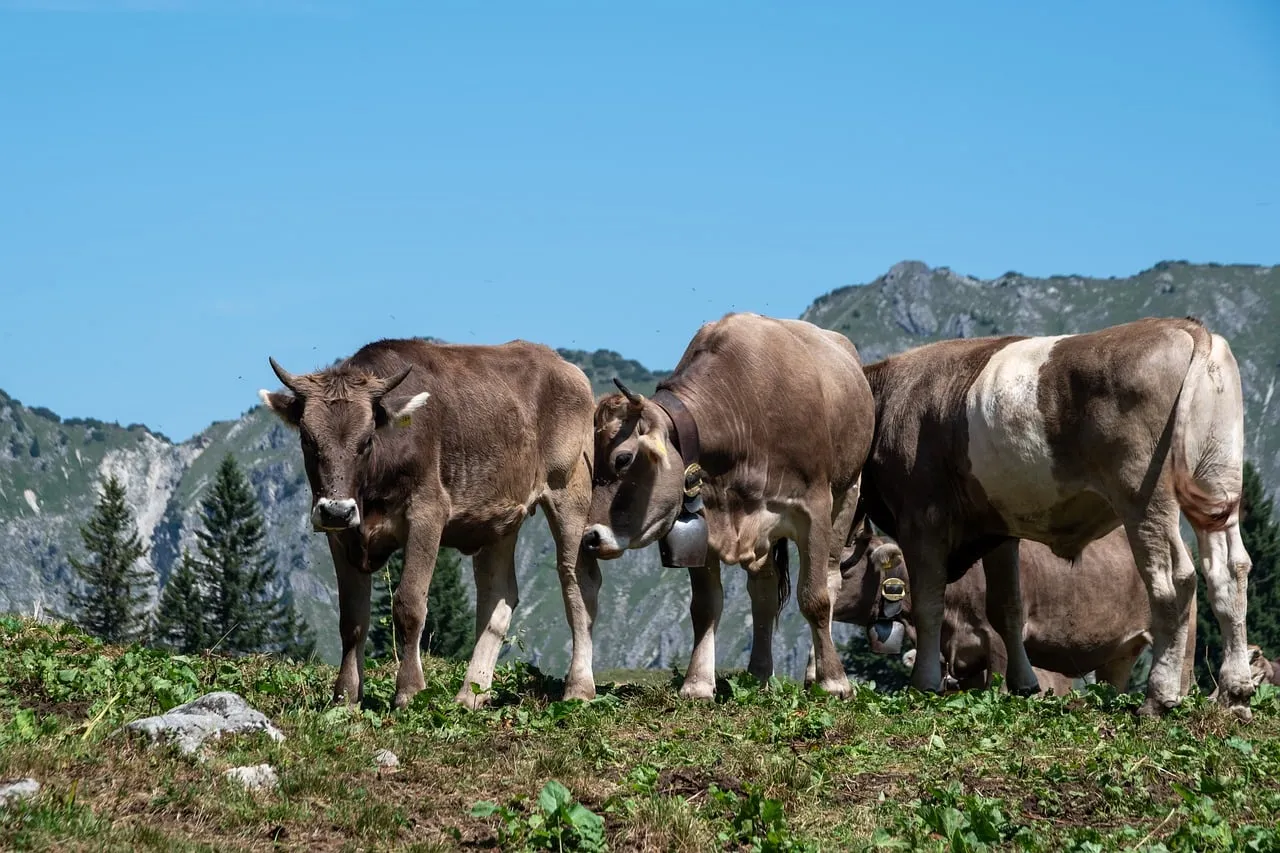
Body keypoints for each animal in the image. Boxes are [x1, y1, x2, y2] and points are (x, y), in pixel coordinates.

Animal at [259, 338, 600, 710]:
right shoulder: (341, 535)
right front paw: (345, 696)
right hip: (500, 518)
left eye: (366, 440)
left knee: (577, 582)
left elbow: (409, 604)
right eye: (307, 439)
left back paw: (579, 689)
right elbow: (351, 619)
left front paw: (409, 690)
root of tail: (560, 362)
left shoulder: (428, 513)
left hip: (570, 492)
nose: (336, 510)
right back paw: (471, 695)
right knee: (499, 597)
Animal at [581, 312, 876, 699]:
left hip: (847, 494)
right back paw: (758, 674)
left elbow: (815, 597)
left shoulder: (814, 509)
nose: (589, 537)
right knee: (763, 591)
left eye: (622, 459)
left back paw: (816, 674)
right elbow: (706, 606)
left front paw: (834, 682)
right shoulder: (706, 519)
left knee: (829, 581)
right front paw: (697, 684)